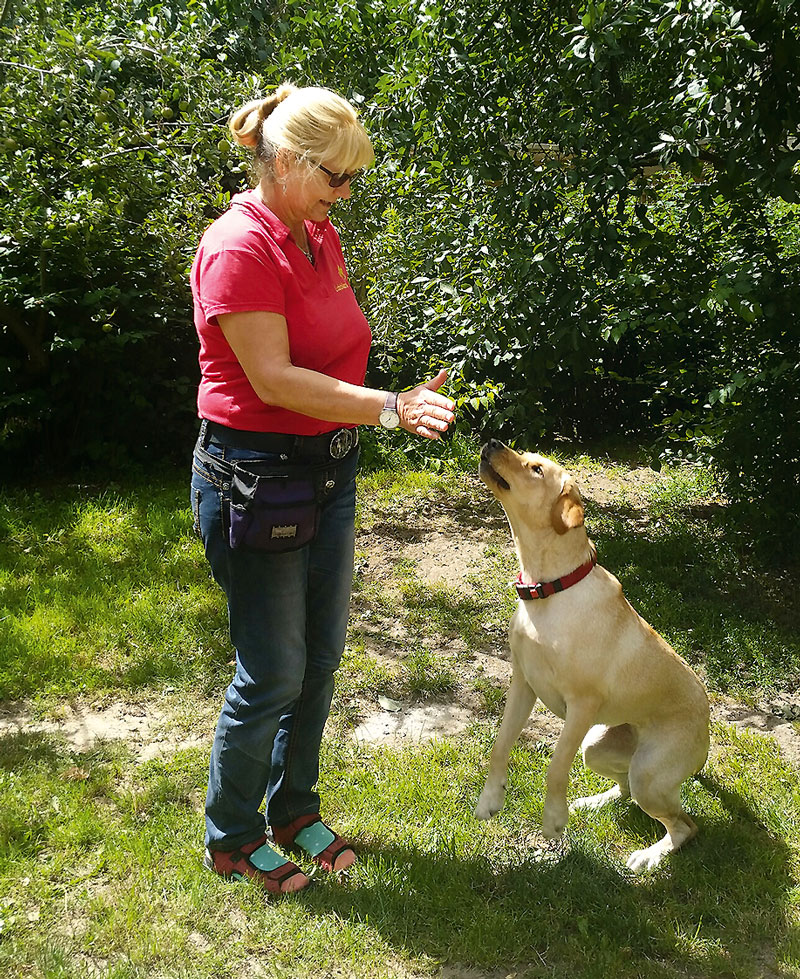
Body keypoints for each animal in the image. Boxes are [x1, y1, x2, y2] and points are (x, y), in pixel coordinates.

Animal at [472, 442, 708, 872]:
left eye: (535, 468)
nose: (491, 441)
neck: (549, 589)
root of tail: (709, 723)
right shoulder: (523, 684)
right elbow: (500, 746)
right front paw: (490, 800)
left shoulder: (581, 706)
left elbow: (555, 767)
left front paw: (553, 821)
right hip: (597, 748)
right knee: (625, 790)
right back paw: (593, 802)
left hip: (647, 773)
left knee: (683, 825)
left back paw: (649, 856)